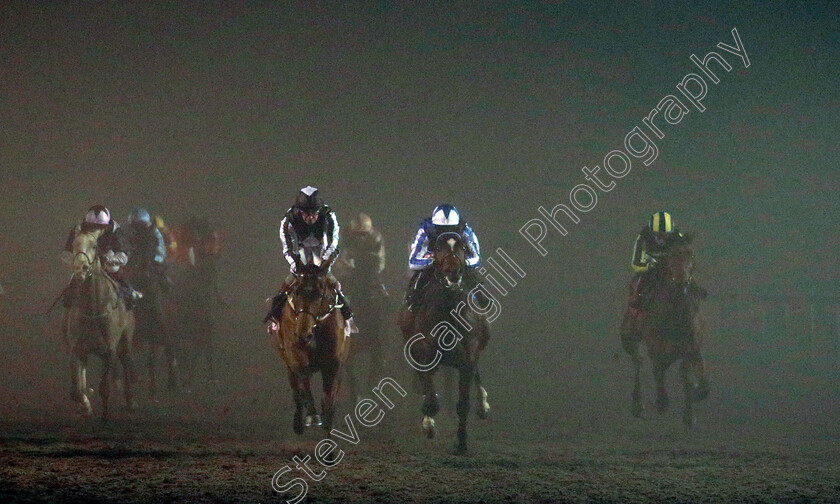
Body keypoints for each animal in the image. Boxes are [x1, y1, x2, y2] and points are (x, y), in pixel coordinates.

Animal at [64, 230, 136, 420]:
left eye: (94, 245)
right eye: (74, 244)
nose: (80, 268)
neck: (93, 308)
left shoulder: (109, 350)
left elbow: (105, 387)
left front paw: (105, 416)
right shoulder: (76, 348)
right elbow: (76, 390)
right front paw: (85, 405)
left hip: (126, 340)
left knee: (127, 362)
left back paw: (130, 401)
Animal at [272, 256, 352, 438]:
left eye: (319, 294)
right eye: (296, 292)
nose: (303, 335)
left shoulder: (334, 364)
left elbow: (329, 400)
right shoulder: (296, 357)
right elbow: (303, 382)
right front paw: (312, 416)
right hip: (287, 363)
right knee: (296, 390)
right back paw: (299, 422)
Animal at [398, 231, 488, 452]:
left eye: (463, 247)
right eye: (438, 248)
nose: (453, 271)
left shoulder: (467, 359)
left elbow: (463, 403)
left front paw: (462, 443)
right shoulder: (423, 354)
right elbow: (430, 401)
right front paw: (428, 425)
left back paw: (483, 404)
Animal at [620, 231, 704, 426]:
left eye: (691, 254)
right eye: (670, 256)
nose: (681, 283)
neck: (676, 308)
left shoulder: (692, 344)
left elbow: (690, 374)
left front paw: (692, 405)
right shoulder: (655, 341)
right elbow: (658, 367)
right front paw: (662, 400)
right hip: (628, 335)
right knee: (638, 360)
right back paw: (638, 404)